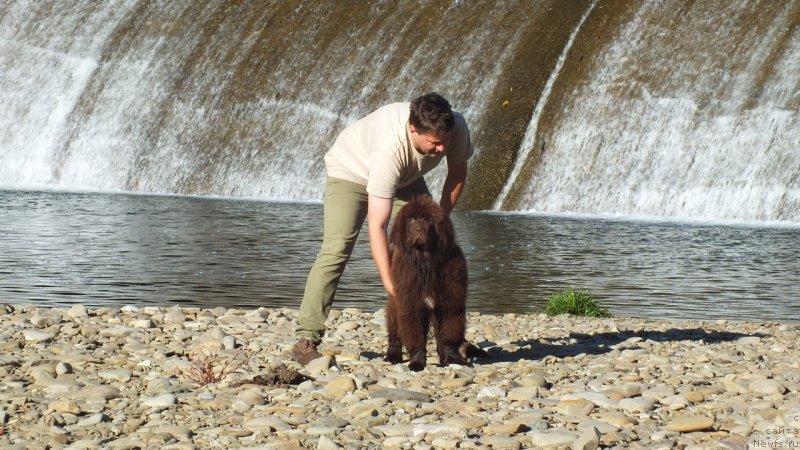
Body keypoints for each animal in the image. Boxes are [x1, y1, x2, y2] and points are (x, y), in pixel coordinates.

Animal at [384, 195, 484, 370]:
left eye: (428, 220)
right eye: (411, 220)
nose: (419, 229)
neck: (426, 262)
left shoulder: (450, 304)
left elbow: (449, 335)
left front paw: (452, 358)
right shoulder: (411, 305)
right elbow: (415, 336)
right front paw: (417, 362)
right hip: (395, 303)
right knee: (394, 329)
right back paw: (393, 355)